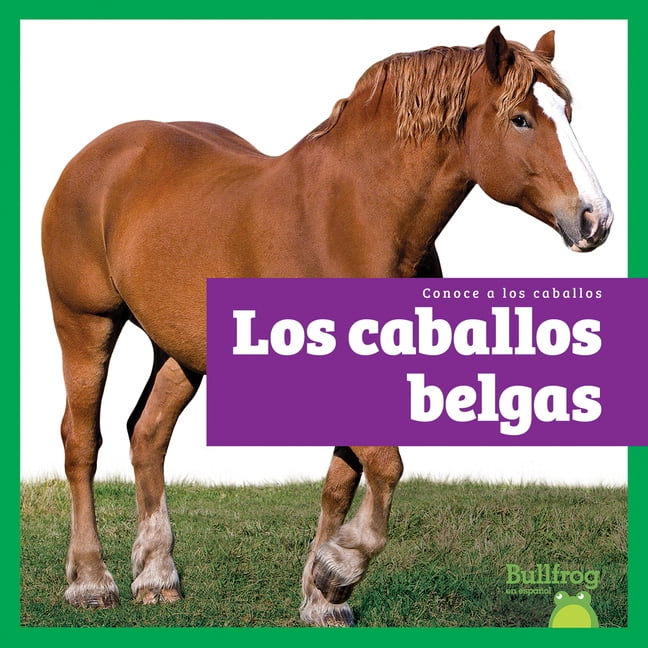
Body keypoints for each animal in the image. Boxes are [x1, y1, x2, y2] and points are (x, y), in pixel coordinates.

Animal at [41, 26, 612, 626]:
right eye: (521, 119)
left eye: (567, 112)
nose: (596, 218)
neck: (357, 217)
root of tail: (98, 155)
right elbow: (385, 466)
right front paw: (340, 571)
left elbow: (343, 481)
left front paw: (322, 592)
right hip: (84, 323)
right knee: (82, 441)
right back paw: (90, 580)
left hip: (178, 349)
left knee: (148, 435)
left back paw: (156, 576)